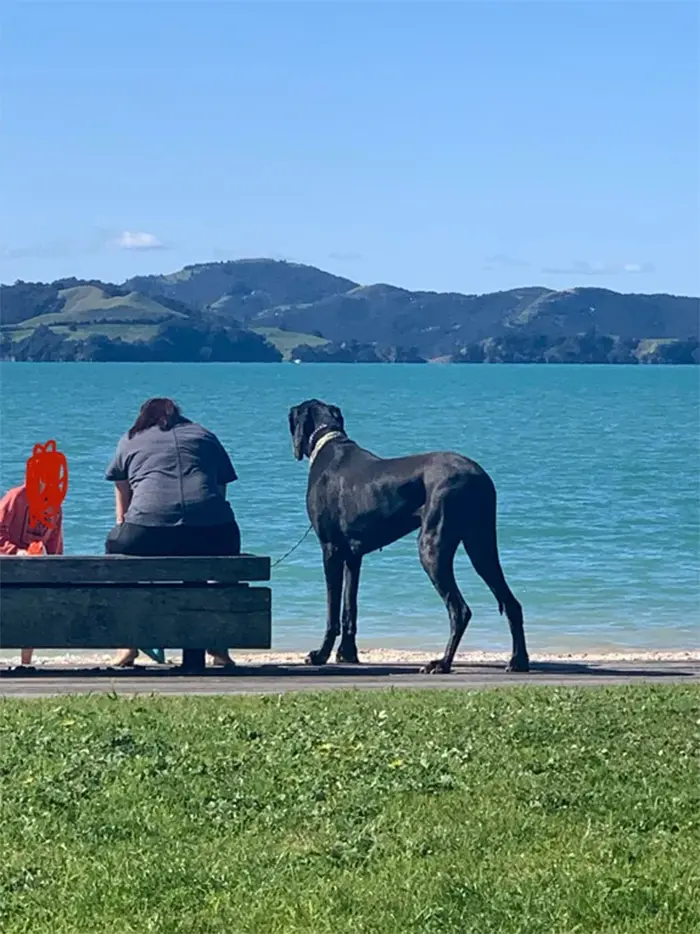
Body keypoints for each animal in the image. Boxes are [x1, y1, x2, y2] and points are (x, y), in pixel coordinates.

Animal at [288, 398, 528, 676]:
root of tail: (479, 475)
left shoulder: (331, 550)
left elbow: (332, 611)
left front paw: (320, 654)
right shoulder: (353, 556)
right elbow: (350, 608)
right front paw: (347, 653)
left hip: (432, 546)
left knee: (459, 610)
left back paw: (442, 663)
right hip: (481, 544)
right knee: (511, 603)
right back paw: (519, 660)